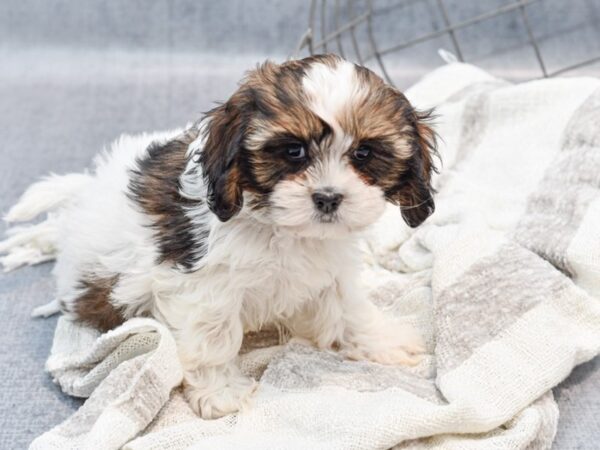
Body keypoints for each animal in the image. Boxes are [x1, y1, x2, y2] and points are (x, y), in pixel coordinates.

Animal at [2, 54, 438, 420]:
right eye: (293, 151)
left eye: (364, 154)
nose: (328, 197)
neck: (279, 226)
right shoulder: (205, 286)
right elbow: (213, 337)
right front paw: (220, 391)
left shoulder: (331, 267)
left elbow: (350, 308)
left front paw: (382, 340)